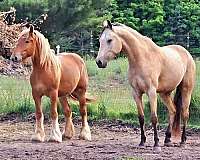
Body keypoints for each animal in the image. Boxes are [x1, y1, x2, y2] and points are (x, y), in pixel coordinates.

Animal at [96, 19, 196, 151]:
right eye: (100, 41)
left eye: (109, 40)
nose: (99, 62)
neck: (141, 59)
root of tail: (186, 53)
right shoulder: (136, 93)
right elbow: (141, 117)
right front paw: (142, 142)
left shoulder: (151, 92)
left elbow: (154, 118)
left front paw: (156, 144)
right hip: (164, 93)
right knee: (173, 110)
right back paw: (167, 139)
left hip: (186, 89)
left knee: (184, 113)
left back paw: (183, 141)